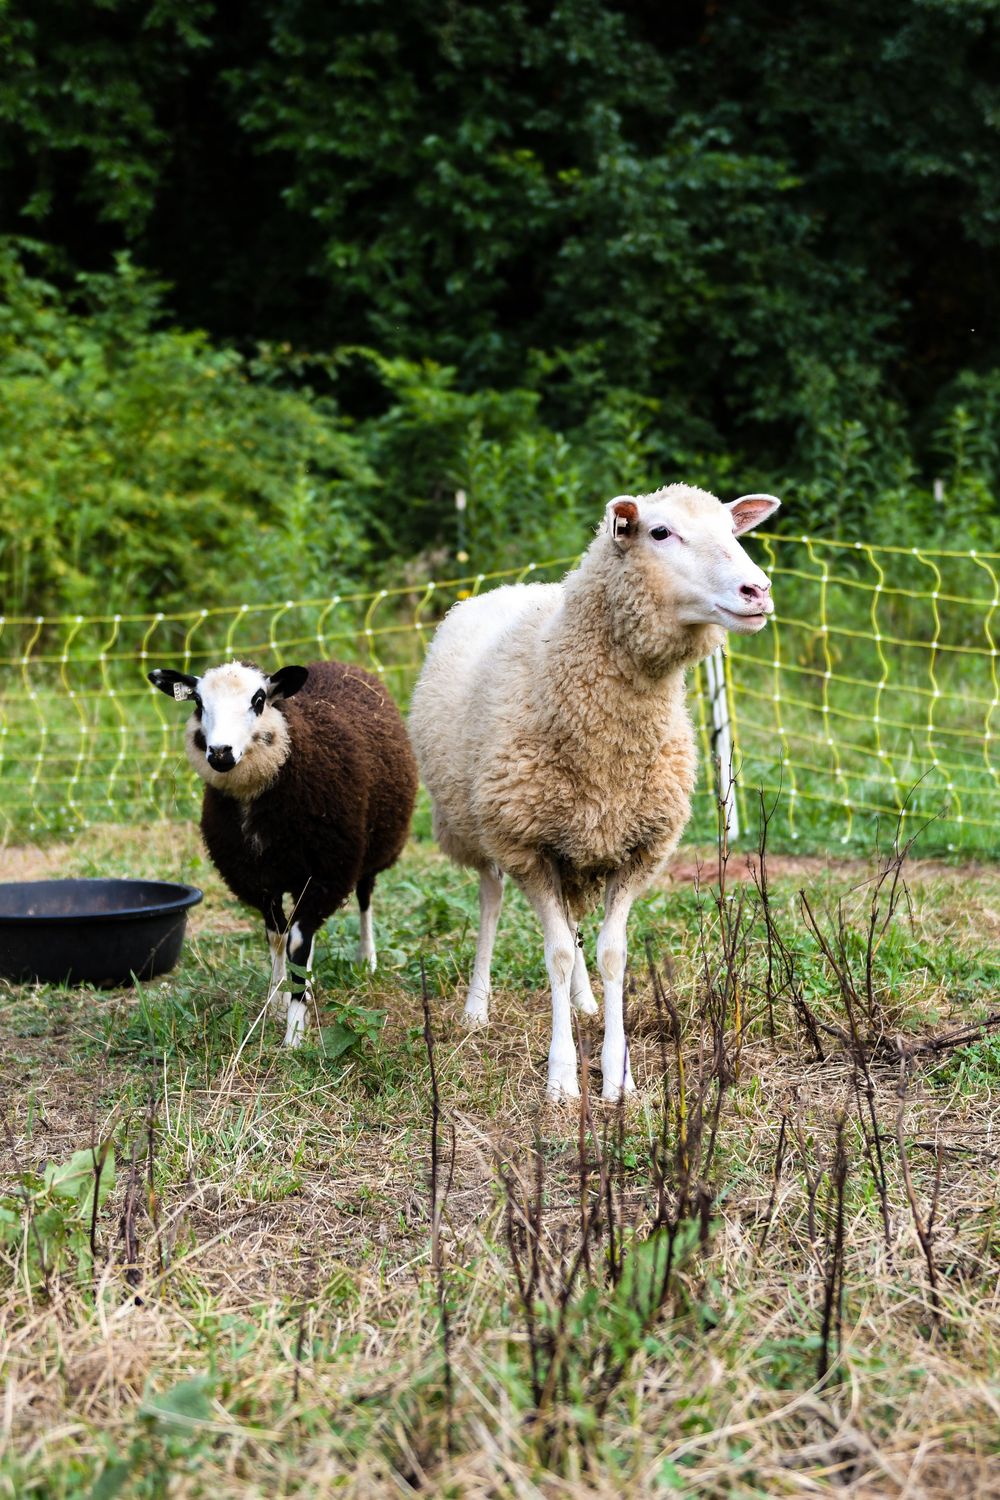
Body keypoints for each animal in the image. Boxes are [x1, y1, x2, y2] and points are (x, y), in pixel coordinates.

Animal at [149, 657, 418, 1045]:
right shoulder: (257, 879)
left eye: (259, 700)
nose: (220, 753)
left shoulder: (326, 874)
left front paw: (294, 1033)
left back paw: (366, 959)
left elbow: (297, 945)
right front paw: (276, 1002)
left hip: (372, 848)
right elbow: (277, 939)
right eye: (198, 703)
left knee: (365, 898)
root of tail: (336, 662)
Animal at [409, 483, 780, 1101]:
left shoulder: (637, 847)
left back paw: (583, 1003)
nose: (758, 591)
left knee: (572, 919)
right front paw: (562, 1078)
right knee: (491, 897)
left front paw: (618, 1074)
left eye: (734, 531)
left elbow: (611, 953)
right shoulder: (526, 844)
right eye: (659, 532)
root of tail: (516, 586)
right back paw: (477, 1007)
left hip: (575, 843)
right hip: (474, 823)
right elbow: (557, 953)